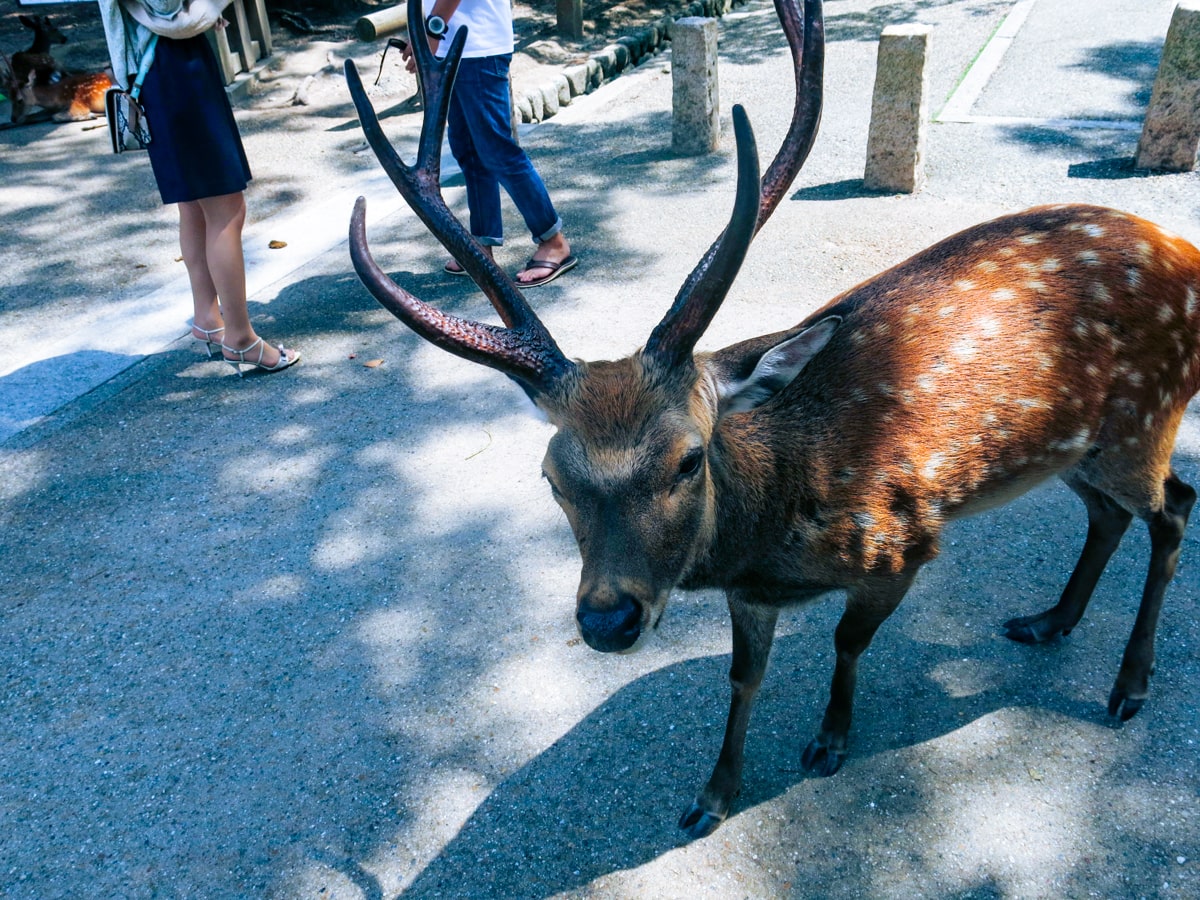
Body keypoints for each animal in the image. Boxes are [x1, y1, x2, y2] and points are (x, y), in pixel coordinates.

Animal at [338, 0, 1200, 840]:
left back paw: (1128, 686)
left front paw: (829, 742)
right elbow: (742, 677)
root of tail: (1183, 253)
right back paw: (1050, 621)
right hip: (1076, 449)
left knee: (1174, 509)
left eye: (688, 459)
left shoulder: (904, 544)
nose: (608, 620)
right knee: (1109, 515)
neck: (779, 528)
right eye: (552, 476)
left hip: (1143, 420)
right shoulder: (750, 595)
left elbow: (847, 642)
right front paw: (712, 797)